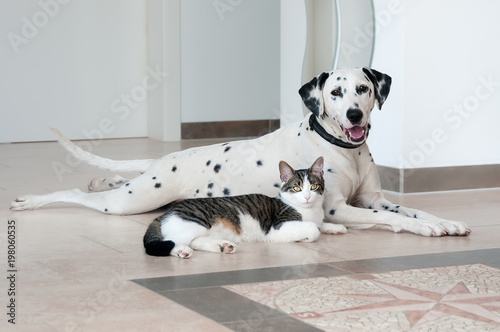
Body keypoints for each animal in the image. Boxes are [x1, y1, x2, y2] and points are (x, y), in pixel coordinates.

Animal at [11, 67, 472, 237]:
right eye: (335, 93)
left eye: (362, 88)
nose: (355, 114)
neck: (344, 150)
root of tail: (164, 160)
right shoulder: (339, 208)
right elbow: (392, 220)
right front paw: (427, 229)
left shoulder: (374, 199)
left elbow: (414, 209)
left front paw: (444, 221)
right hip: (129, 203)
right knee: (77, 195)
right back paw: (31, 201)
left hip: (144, 194)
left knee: (113, 180)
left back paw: (100, 177)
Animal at [143, 157, 326, 258]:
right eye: (297, 188)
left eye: (314, 187)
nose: (307, 197)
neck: (311, 210)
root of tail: (165, 214)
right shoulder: (277, 228)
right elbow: (313, 228)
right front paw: (307, 235)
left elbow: (322, 225)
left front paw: (330, 227)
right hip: (193, 223)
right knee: (171, 241)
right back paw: (181, 251)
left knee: (195, 241)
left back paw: (223, 246)